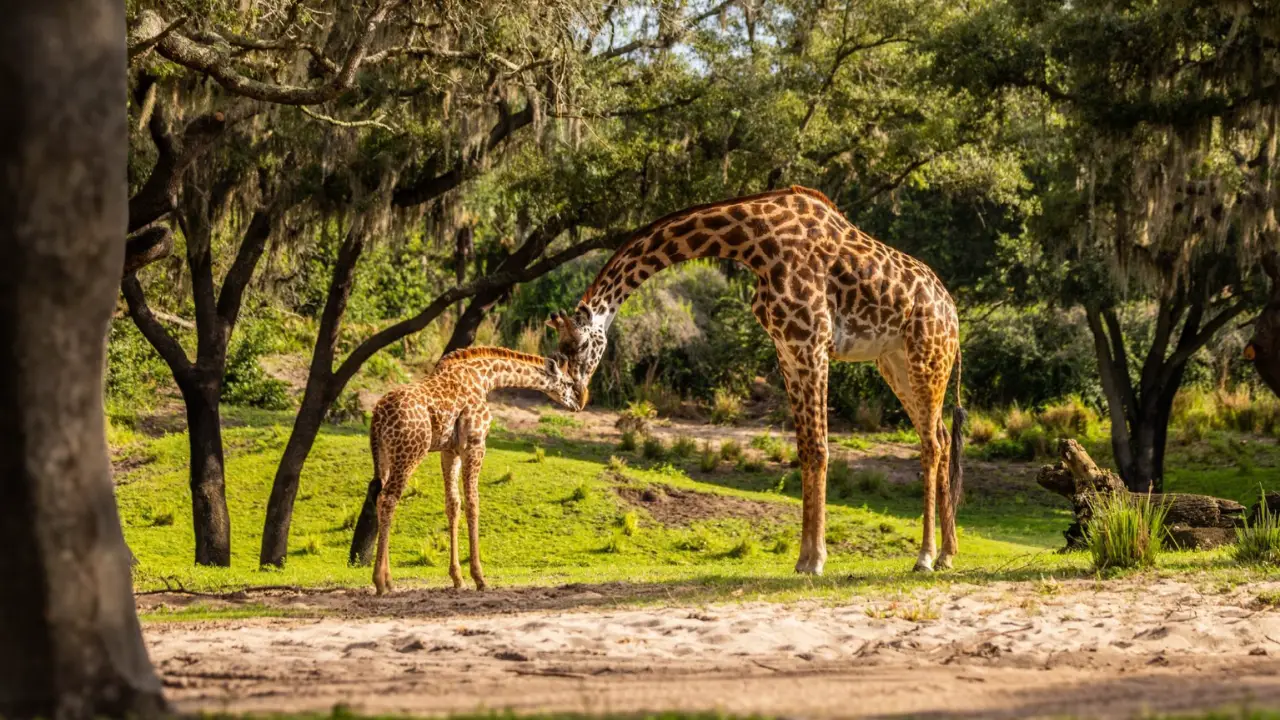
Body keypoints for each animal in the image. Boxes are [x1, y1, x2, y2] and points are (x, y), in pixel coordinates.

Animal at [367, 347, 586, 595]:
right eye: (568, 382)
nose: (577, 403)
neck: (484, 378)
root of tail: (378, 416)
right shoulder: (475, 444)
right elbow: (473, 503)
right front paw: (479, 578)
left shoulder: (450, 451)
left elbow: (453, 505)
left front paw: (457, 579)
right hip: (410, 453)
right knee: (388, 499)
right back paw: (381, 581)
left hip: (384, 456)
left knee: (380, 497)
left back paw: (388, 581)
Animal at [548, 185, 965, 574]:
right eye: (560, 347)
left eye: (578, 344)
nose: (577, 397)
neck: (754, 242)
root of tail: (953, 312)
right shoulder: (786, 349)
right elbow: (805, 450)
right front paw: (802, 559)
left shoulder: (812, 343)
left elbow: (819, 448)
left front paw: (816, 560)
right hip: (894, 362)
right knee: (943, 437)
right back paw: (947, 553)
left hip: (926, 355)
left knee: (931, 444)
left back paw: (925, 557)